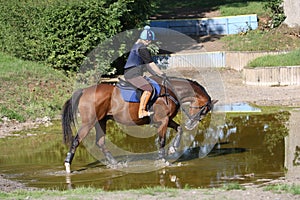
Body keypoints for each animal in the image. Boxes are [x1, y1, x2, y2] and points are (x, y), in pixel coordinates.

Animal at [61, 76, 216, 173]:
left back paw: (115, 163)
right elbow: (162, 140)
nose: (191, 125)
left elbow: (179, 129)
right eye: (204, 110)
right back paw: (68, 165)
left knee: (100, 142)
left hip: (101, 121)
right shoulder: (163, 121)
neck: (171, 91)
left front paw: (173, 149)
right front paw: (163, 160)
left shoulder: (165, 120)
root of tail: (84, 91)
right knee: (76, 141)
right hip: (89, 122)